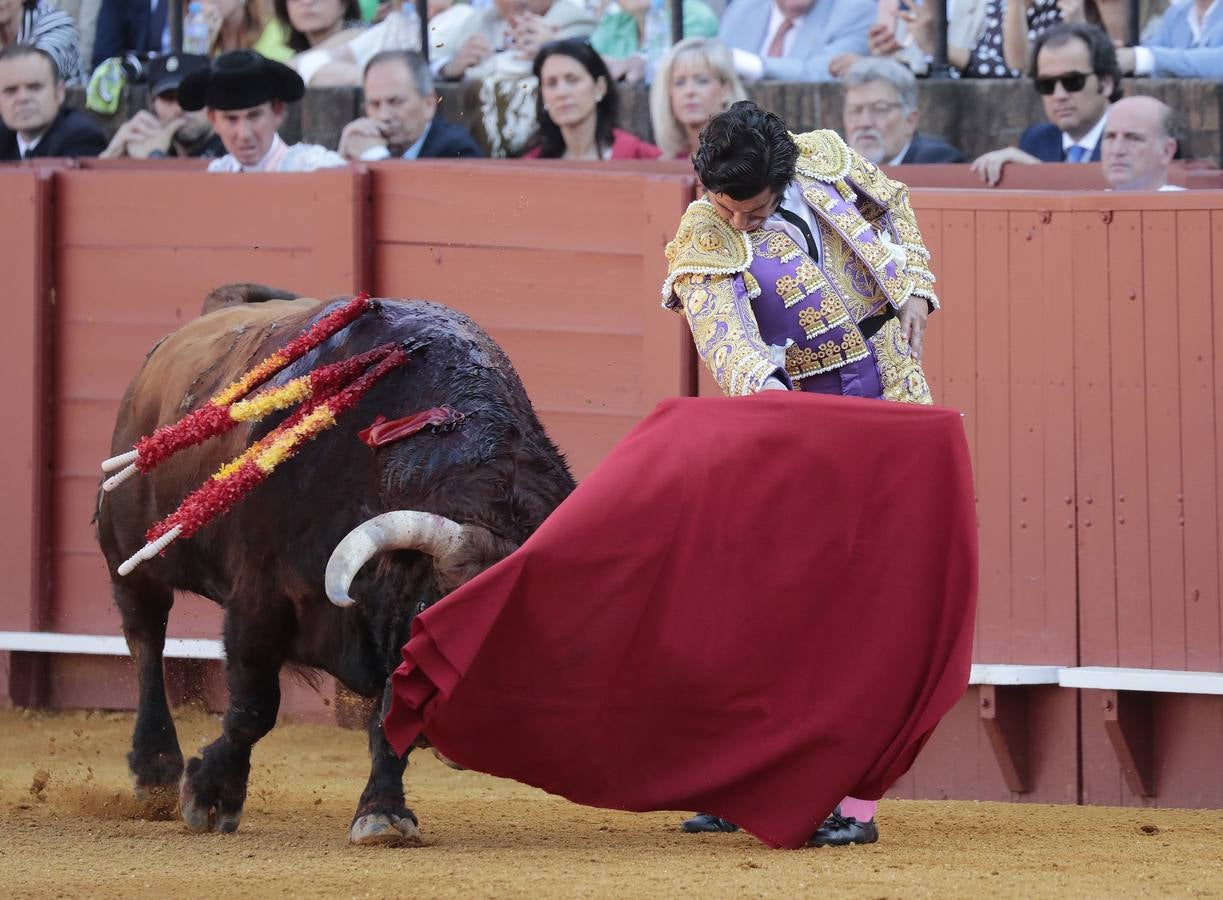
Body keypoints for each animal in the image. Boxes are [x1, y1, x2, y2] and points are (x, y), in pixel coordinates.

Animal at [95, 286, 572, 841]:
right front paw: (210, 797)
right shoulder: (258, 598)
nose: (469, 731)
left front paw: (382, 812)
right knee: (146, 637)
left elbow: (389, 720)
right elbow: (254, 706)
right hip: (129, 551)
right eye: (437, 612)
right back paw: (154, 772)